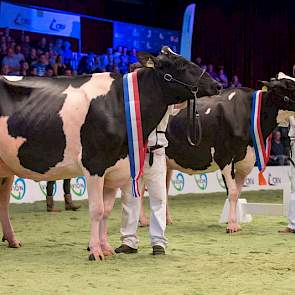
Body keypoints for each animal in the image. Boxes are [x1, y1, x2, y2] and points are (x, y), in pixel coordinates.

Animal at [0, 48, 222, 262]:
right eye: (181, 65)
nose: (218, 85)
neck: (120, 105)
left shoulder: (114, 169)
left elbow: (106, 211)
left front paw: (106, 249)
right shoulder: (94, 164)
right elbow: (96, 209)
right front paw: (95, 251)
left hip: (6, 168)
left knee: (4, 202)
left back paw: (12, 240)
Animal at [165, 72, 295, 234]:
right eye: (289, 85)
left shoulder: (246, 160)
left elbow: (237, 192)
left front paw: (234, 221)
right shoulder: (224, 156)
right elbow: (232, 191)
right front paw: (232, 225)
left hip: (167, 163)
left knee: (164, 189)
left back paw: (166, 220)